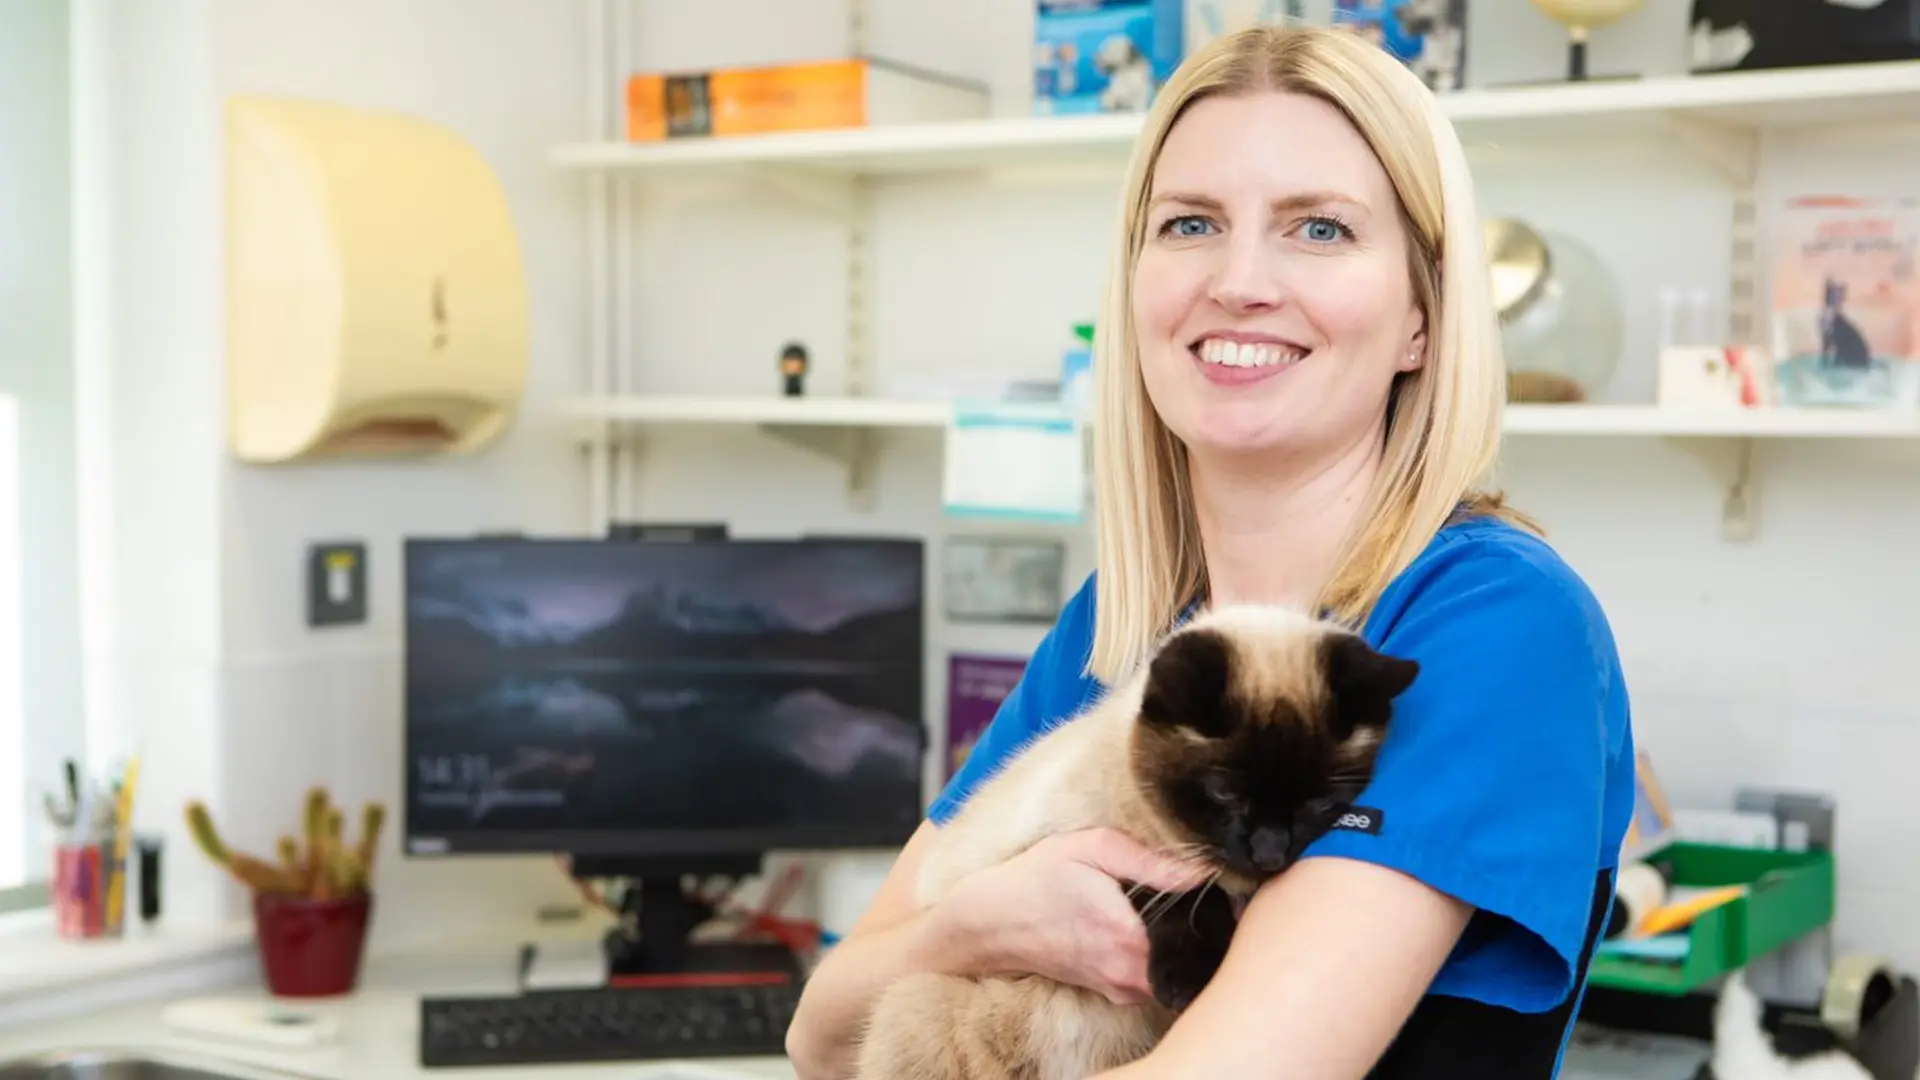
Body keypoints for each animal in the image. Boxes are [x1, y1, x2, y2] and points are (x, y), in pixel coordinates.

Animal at [848, 599, 1420, 1076]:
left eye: (1319, 803)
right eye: (1224, 793)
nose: (1269, 853)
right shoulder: (1077, 850)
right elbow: (1185, 893)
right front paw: (1190, 983)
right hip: (917, 1004)